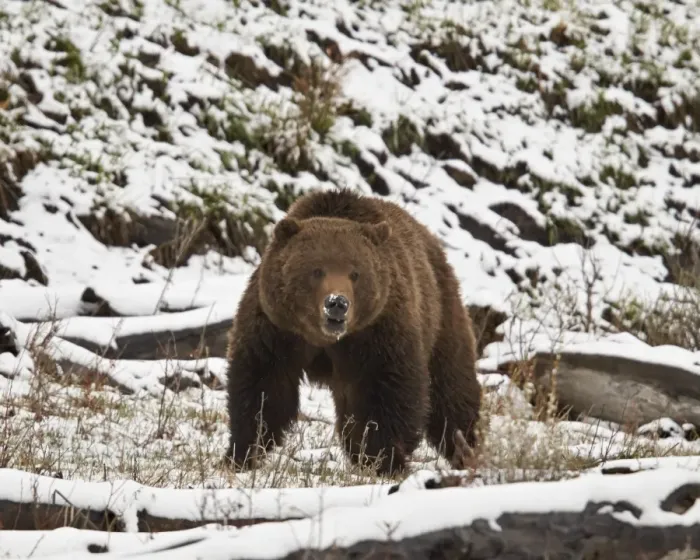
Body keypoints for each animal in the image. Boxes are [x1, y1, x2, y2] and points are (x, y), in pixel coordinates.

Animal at [224, 188, 482, 476]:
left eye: (355, 273)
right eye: (317, 270)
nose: (337, 303)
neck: (324, 339)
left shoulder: (378, 333)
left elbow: (386, 393)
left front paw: (384, 459)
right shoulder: (276, 329)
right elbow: (263, 386)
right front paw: (241, 454)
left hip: (440, 314)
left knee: (451, 389)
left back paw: (464, 448)